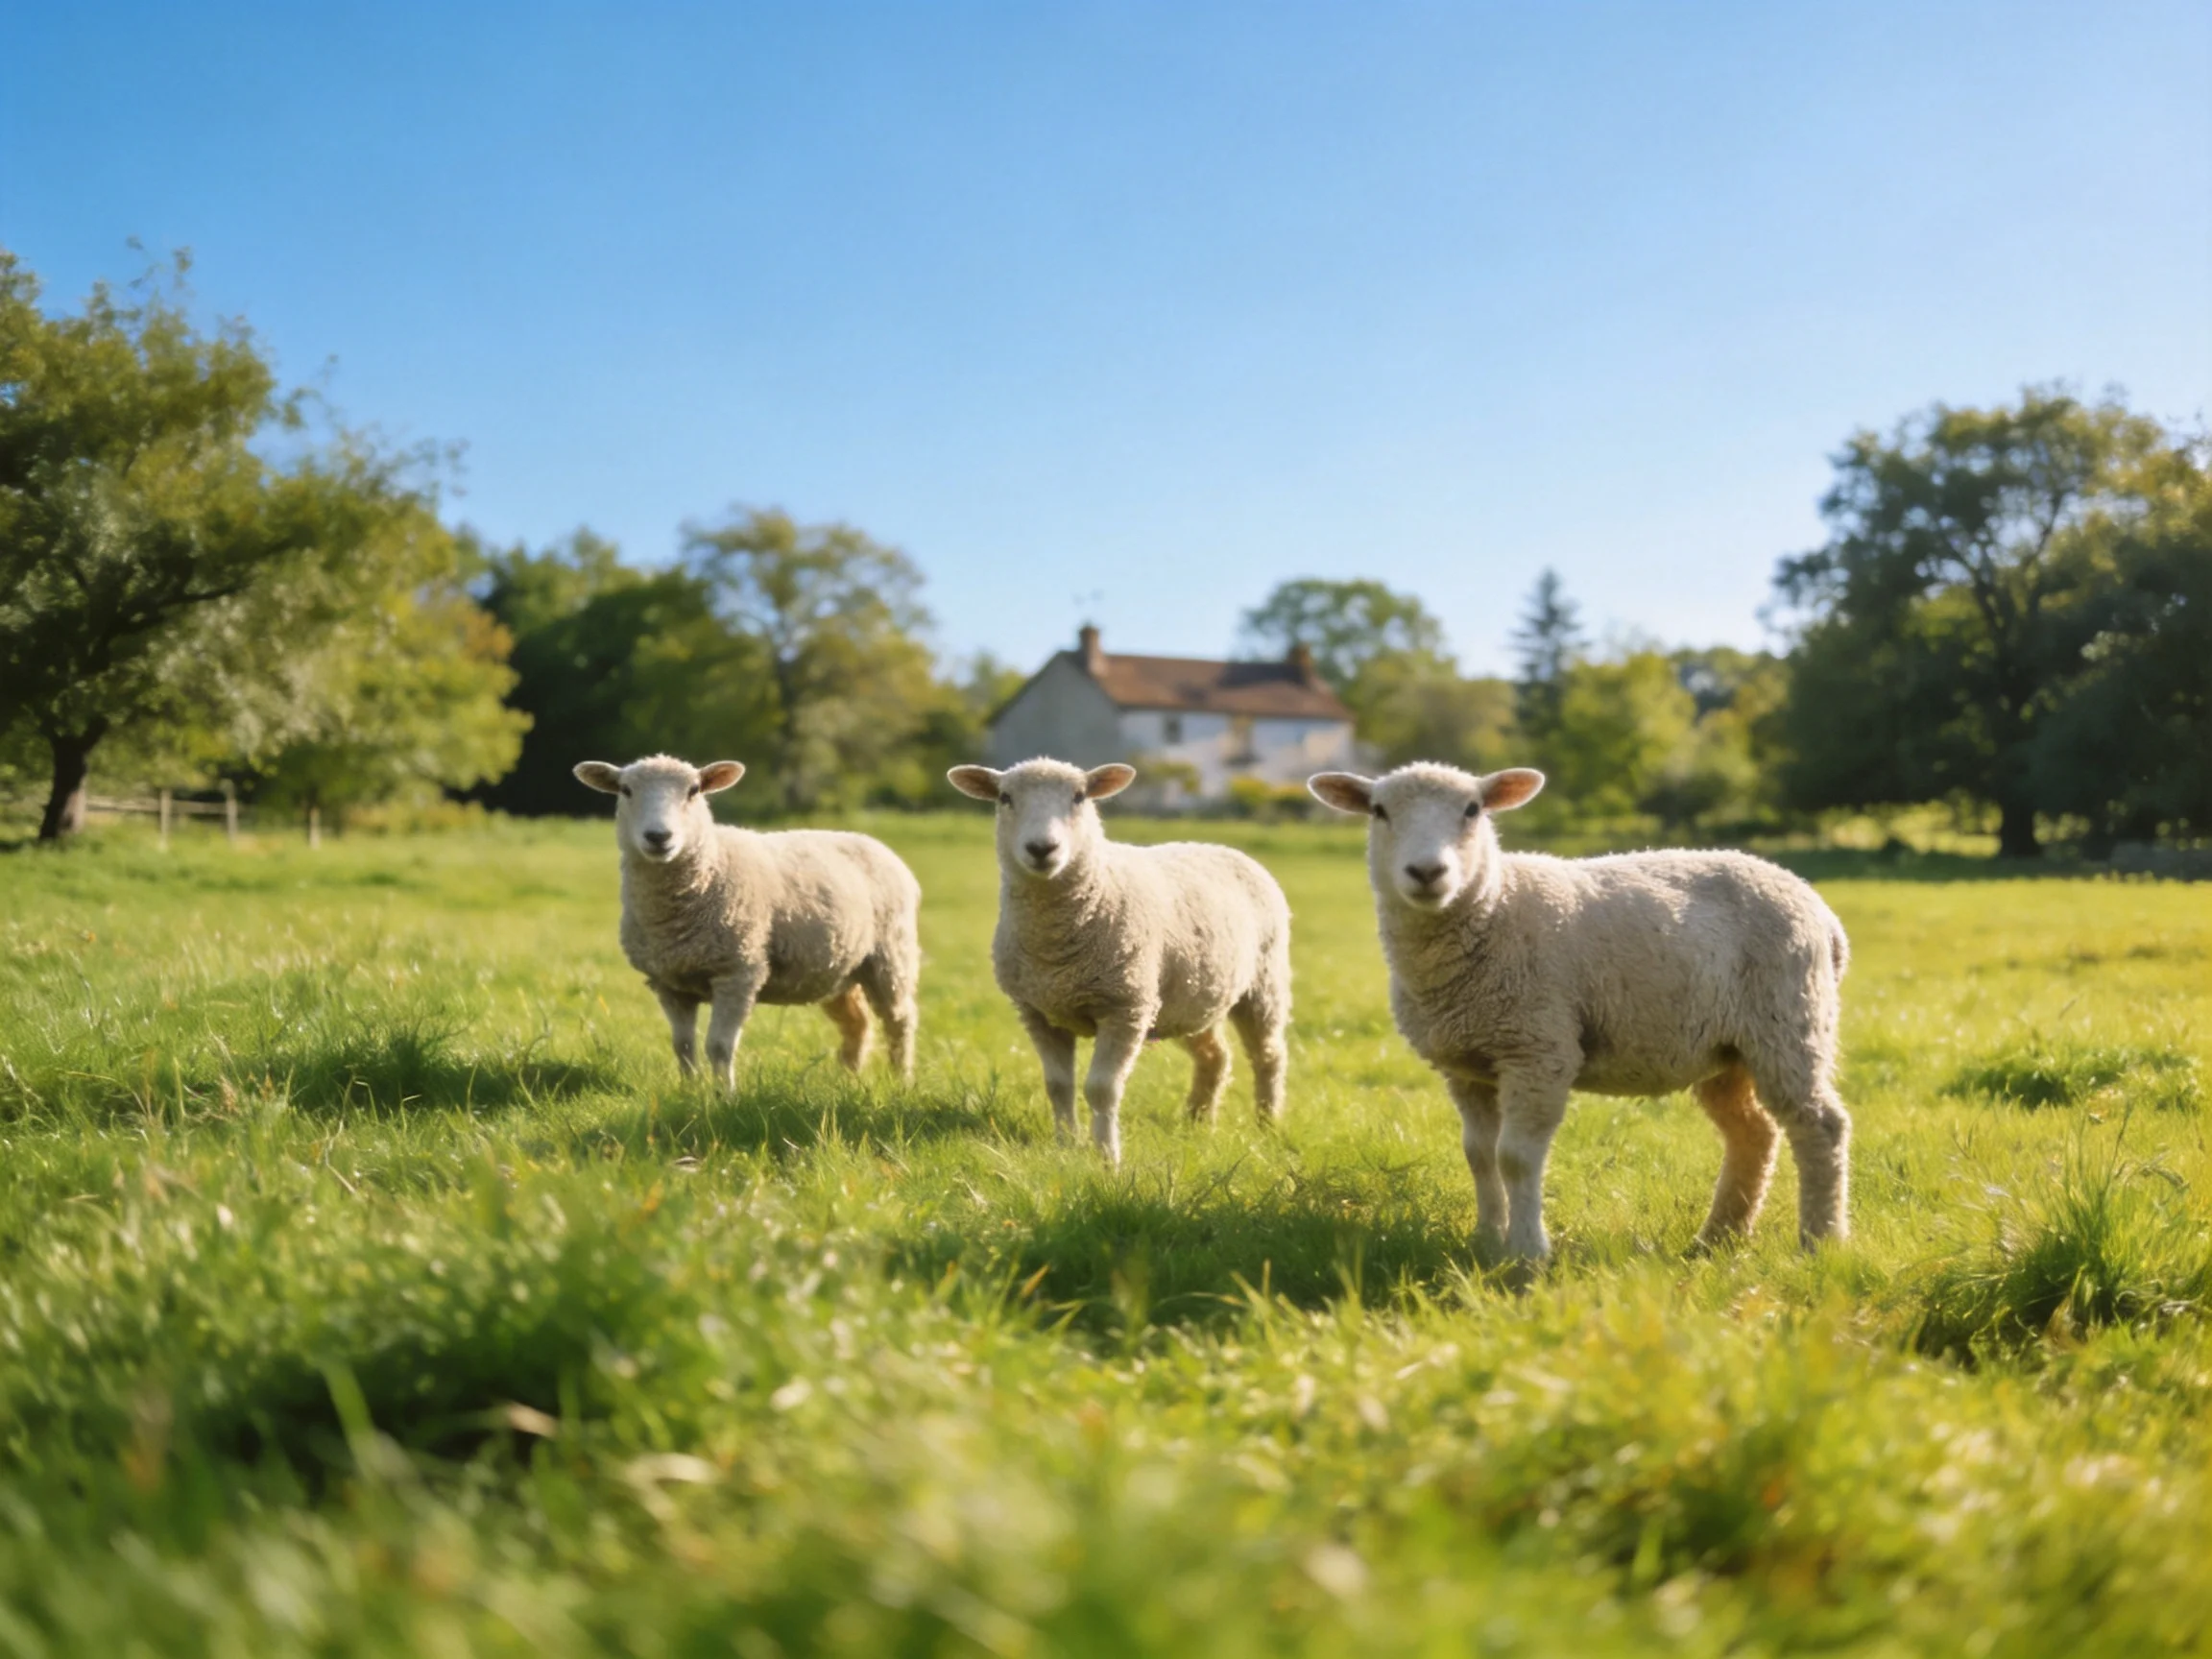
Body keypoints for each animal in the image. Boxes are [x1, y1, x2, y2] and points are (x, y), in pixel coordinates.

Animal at [574, 755, 921, 1088]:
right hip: (837, 971)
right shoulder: (669, 982)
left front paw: (723, 1097)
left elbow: (718, 1046)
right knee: (857, 1023)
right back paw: (847, 1080)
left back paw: (900, 1081)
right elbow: (683, 1046)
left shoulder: (738, 973)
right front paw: (689, 1093)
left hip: (890, 957)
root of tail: (870, 842)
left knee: (900, 1021)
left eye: (694, 790)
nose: (659, 837)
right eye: (626, 790)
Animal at [947, 758, 1292, 1164]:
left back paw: (1267, 1124)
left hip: (1263, 984)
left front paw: (1107, 1158)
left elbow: (1102, 1088)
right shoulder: (1038, 1011)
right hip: (1186, 999)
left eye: (1079, 797)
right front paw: (1066, 1146)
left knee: (1268, 1056)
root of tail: (1222, 847)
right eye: (1005, 798)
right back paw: (1197, 1120)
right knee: (1215, 1056)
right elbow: (1058, 1085)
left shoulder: (1124, 1008)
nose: (1042, 848)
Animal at [1308, 762, 1850, 1263]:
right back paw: (1717, 1238)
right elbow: (1479, 1156)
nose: (1426, 873)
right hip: (1728, 1049)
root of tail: (1822, 912)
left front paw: (1527, 1253)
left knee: (1820, 1126)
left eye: (1473, 810)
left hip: (1790, 1021)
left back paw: (1820, 1242)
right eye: (1380, 811)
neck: (1495, 906)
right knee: (1753, 1133)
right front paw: (1487, 1241)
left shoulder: (1538, 1049)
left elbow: (1516, 1158)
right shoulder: (1466, 1065)